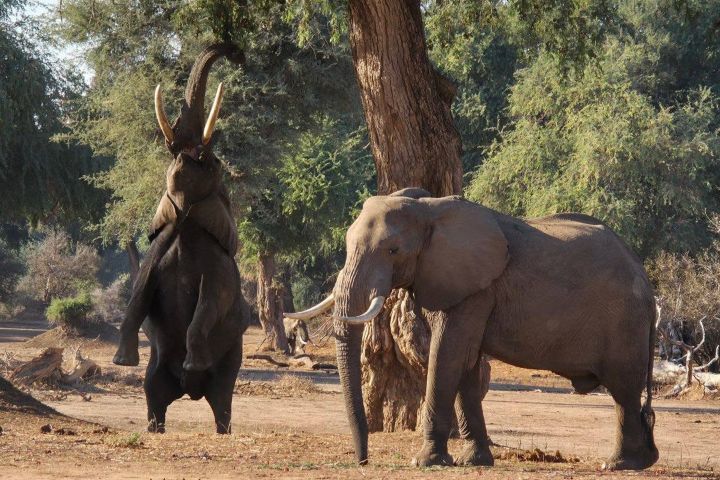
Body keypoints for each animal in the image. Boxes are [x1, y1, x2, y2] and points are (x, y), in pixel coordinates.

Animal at [112, 44, 249, 434]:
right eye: (172, 154)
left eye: (210, 160)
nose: (237, 53)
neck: (186, 231)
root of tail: (190, 393)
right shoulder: (158, 248)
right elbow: (137, 293)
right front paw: (122, 361)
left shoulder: (220, 267)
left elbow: (211, 301)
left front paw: (192, 361)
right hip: (155, 378)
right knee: (152, 395)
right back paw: (154, 426)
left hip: (232, 360)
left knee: (223, 401)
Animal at [286, 187, 658, 470]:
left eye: (393, 250)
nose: (363, 461)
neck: (429, 210)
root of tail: (644, 275)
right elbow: (465, 362)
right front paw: (473, 461)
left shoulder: (476, 289)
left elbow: (448, 354)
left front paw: (425, 462)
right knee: (626, 393)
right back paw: (642, 460)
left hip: (625, 322)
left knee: (623, 389)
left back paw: (620, 464)